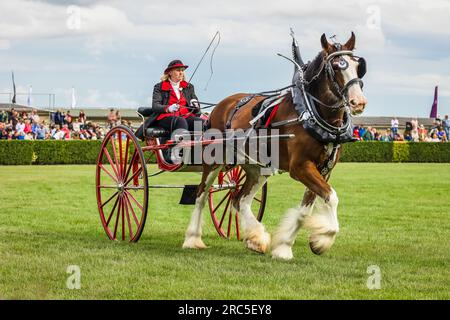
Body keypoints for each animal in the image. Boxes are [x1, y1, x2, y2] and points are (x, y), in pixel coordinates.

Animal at [181, 31, 368, 260]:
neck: (309, 112)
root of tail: (220, 106)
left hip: (258, 168)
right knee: (201, 195)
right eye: (335, 66)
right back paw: (193, 239)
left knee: (239, 200)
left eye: (358, 66)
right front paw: (322, 239)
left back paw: (255, 239)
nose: (358, 102)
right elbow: (332, 198)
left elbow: (306, 209)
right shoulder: (300, 167)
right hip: (214, 160)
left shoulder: (324, 170)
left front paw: (286, 246)